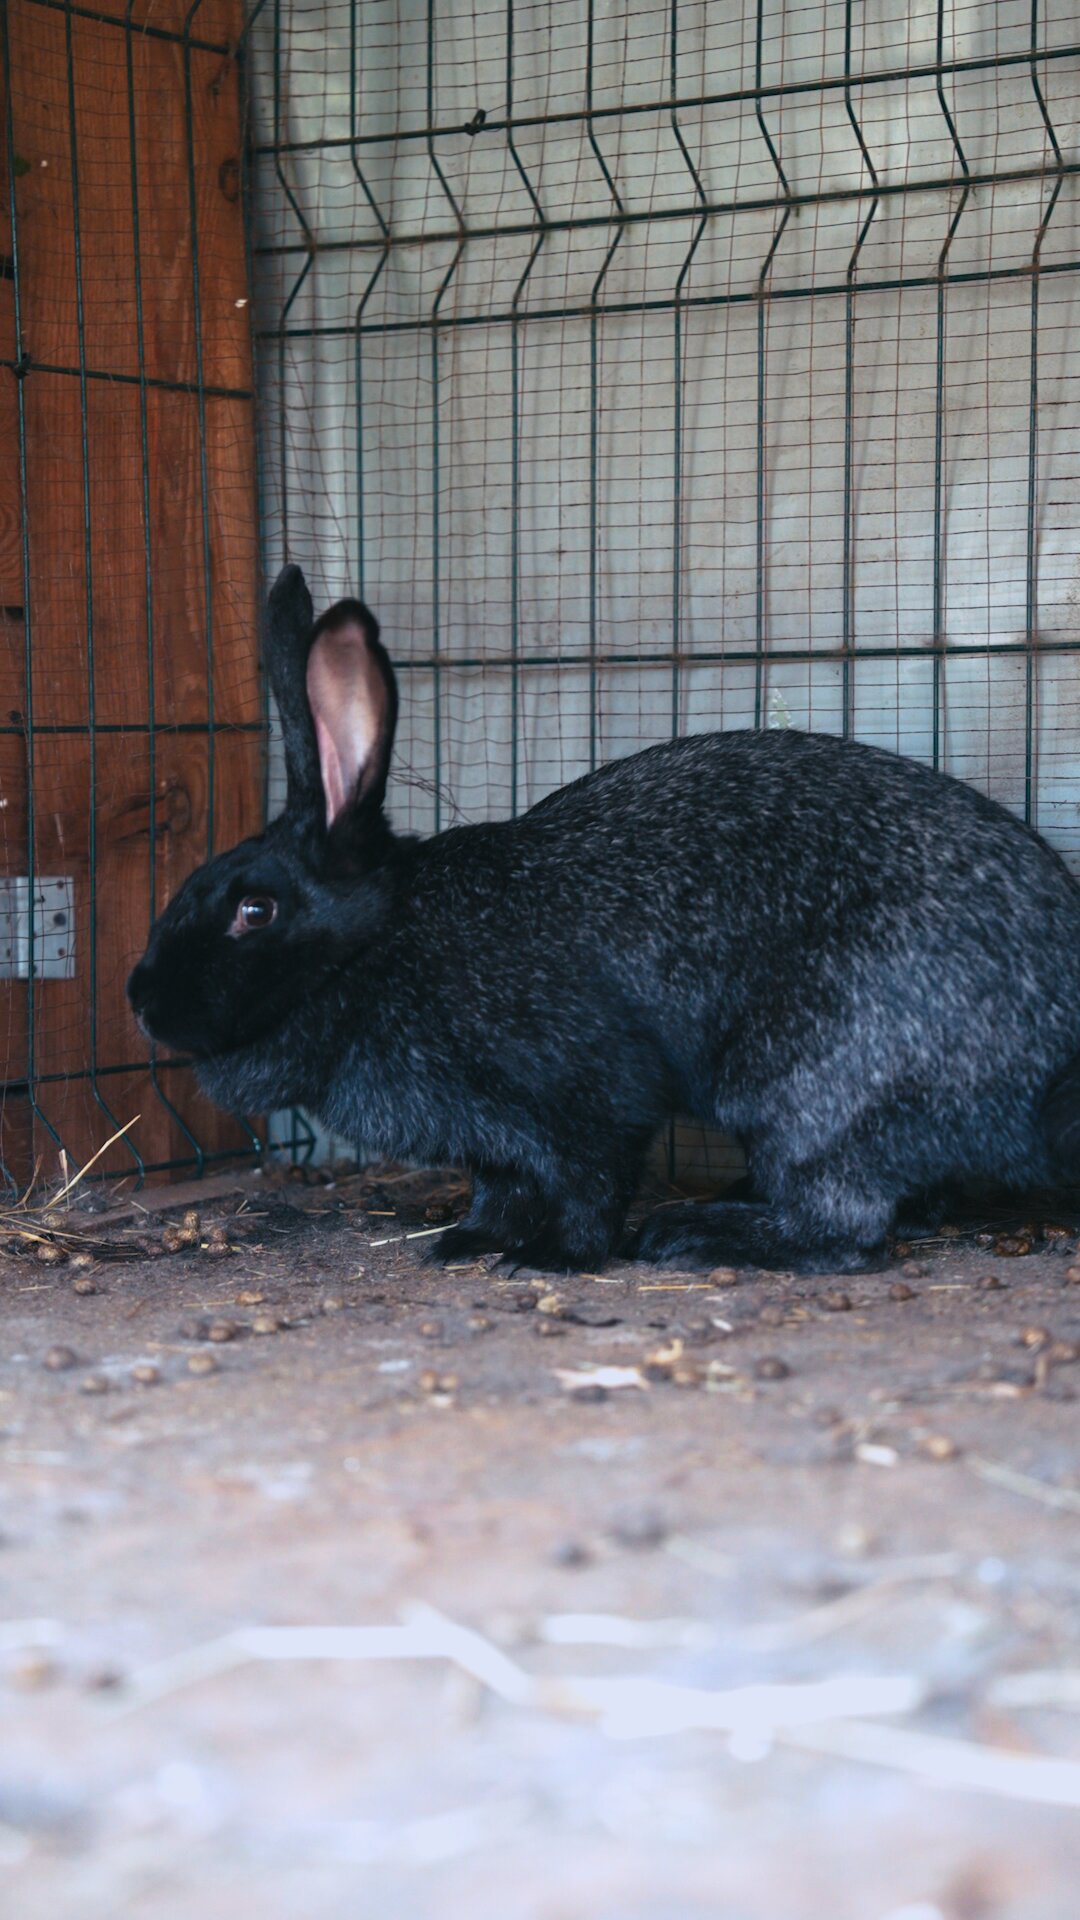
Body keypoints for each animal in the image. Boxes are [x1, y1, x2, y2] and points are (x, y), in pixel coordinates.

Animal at [127, 565, 1080, 1275]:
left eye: (255, 908)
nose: (141, 999)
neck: (377, 946)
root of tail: (1047, 1075)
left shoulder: (582, 1093)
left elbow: (590, 1181)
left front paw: (553, 1259)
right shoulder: (495, 1141)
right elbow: (500, 1188)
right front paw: (463, 1244)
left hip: (813, 1084)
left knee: (848, 1225)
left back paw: (696, 1234)